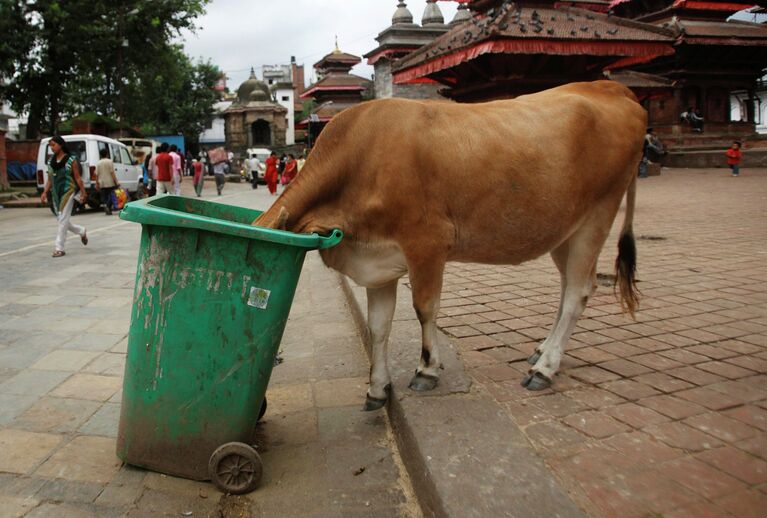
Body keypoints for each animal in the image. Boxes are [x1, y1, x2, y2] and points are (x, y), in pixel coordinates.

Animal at [255, 81, 644, 412]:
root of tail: (613, 88)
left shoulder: (427, 243)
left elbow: (425, 309)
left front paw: (427, 369)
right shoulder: (376, 260)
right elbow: (378, 326)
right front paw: (377, 388)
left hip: (596, 218)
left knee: (578, 292)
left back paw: (545, 368)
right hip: (564, 230)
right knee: (567, 291)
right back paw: (543, 350)